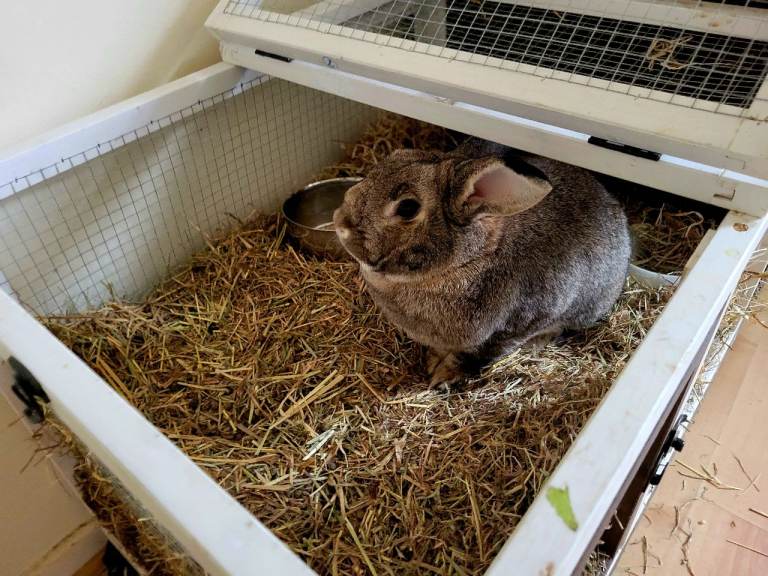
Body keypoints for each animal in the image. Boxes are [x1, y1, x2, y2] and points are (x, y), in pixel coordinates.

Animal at [333, 137, 631, 386]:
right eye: (397, 155)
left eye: (408, 208)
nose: (340, 221)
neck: (462, 264)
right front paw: (432, 361)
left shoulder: (516, 326)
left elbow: (475, 357)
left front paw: (443, 376)